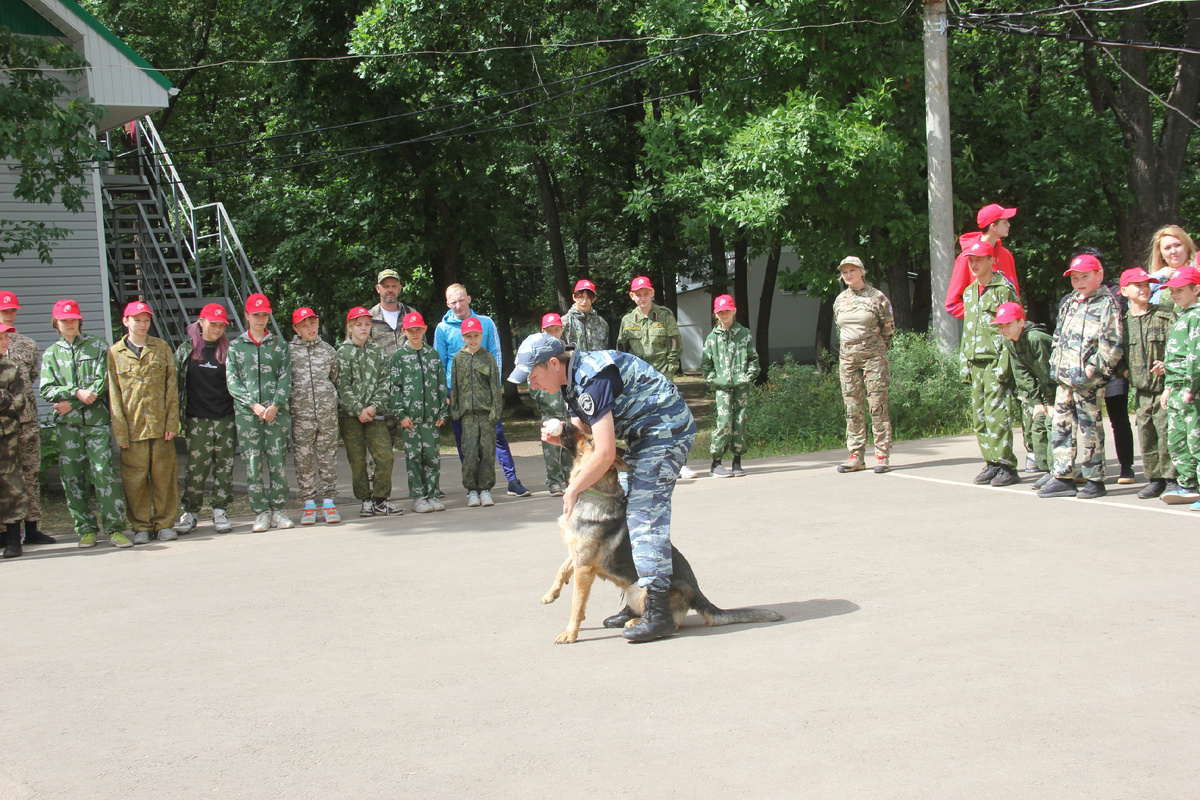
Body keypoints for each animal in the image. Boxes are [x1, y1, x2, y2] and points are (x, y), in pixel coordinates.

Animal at [540, 419, 782, 642]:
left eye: (591, 440)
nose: (564, 423)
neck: (593, 491)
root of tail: (697, 593)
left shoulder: (584, 568)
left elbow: (577, 604)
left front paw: (570, 633)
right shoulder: (577, 554)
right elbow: (562, 569)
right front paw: (551, 594)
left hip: (639, 589)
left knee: (672, 622)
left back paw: (641, 624)